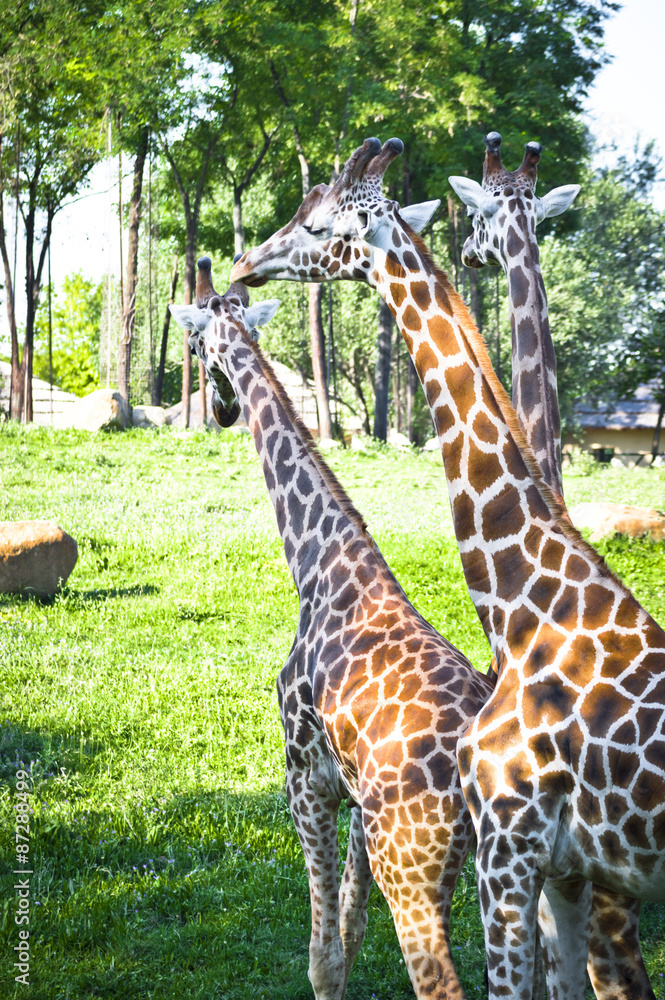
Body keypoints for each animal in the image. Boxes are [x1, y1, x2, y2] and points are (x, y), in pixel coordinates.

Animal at [170, 257, 495, 1000]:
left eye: (196, 342)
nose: (221, 409)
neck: (319, 564)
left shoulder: (304, 775)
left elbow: (322, 953)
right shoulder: (352, 800)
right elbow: (349, 927)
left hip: (414, 868)